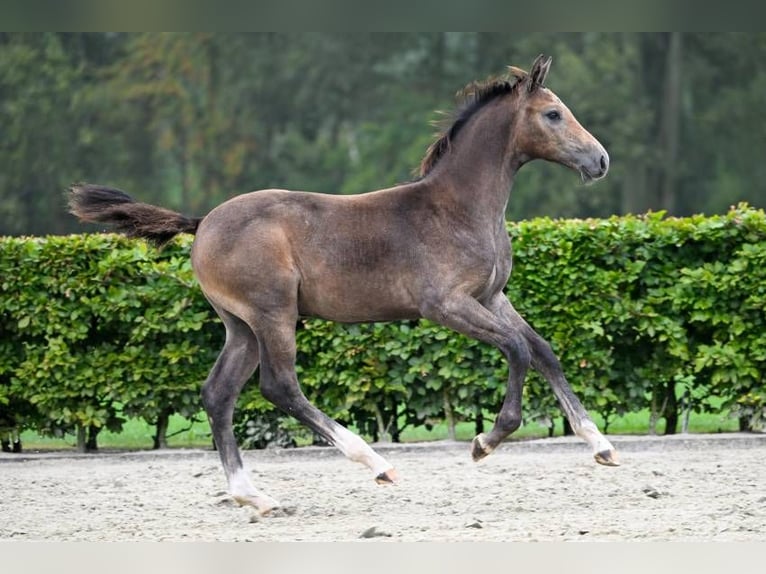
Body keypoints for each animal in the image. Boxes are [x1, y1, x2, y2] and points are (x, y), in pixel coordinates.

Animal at [69, 55, 620, 516]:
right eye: (553, 114)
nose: (601, 161)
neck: (459, 208)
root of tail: (203, 222)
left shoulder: (491, 297)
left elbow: (543, 350)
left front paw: (602, 446)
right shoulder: (445, 304)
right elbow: (516, 350)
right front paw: (486, 441)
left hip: (241, 326)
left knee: (217, 393)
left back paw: (255, 496)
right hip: (273, 314)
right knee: (279, 386)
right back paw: (376, 463)